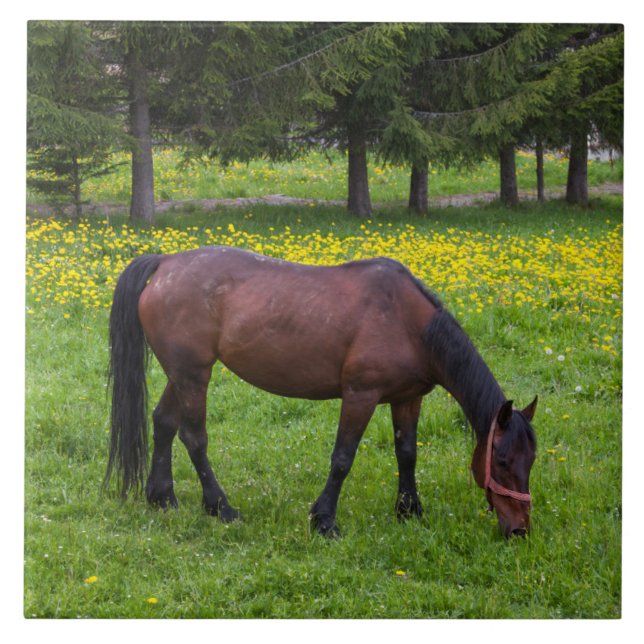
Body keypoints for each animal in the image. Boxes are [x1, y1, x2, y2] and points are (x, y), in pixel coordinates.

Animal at [105, 245, 538, 538]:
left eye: (530, 461)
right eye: (500, 461)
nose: (520, 530)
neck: (407, 322)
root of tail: (166, 262)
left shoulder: (407, 398)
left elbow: (407, 453)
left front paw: (409, 511)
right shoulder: (361, 396)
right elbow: (342, 458)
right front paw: (324, 520)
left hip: (182, 374)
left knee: (163, 422)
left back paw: (162, 497)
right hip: (193, 375)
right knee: (194, 438)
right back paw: (220, 508)